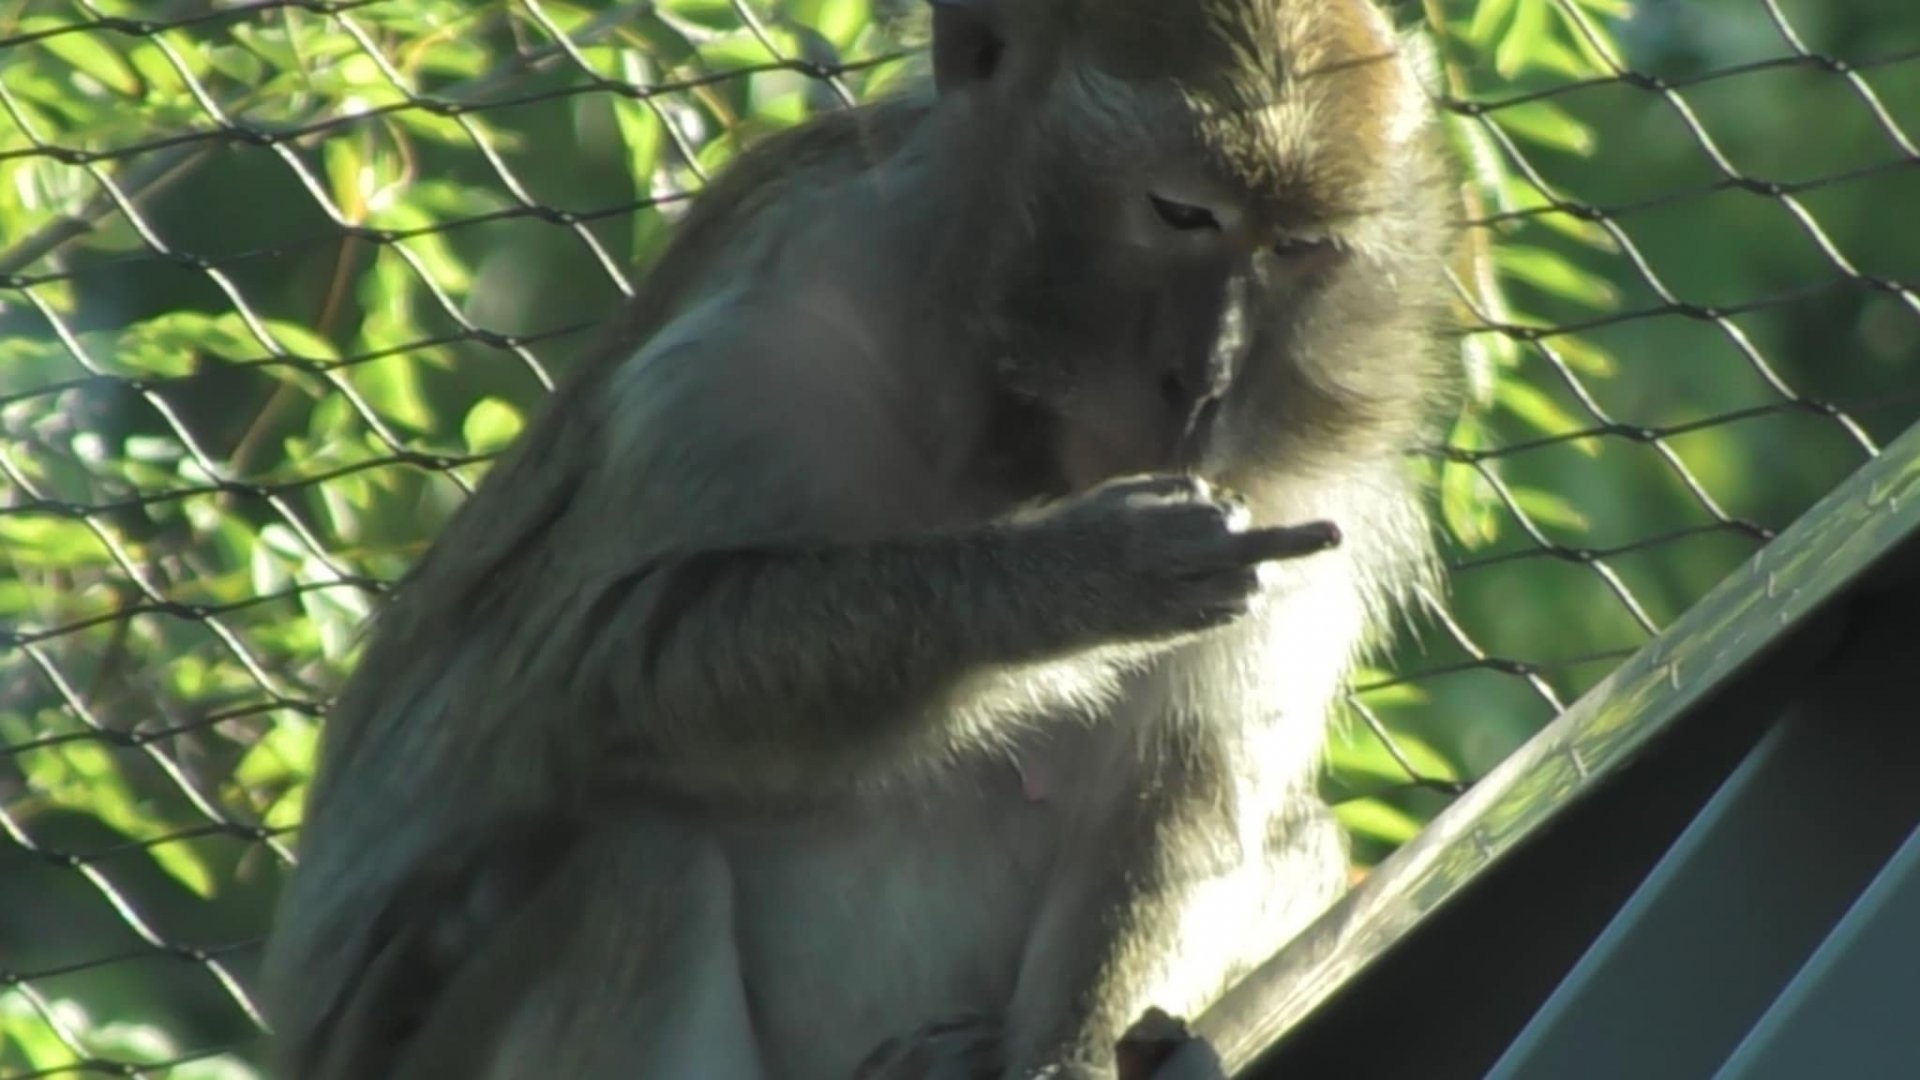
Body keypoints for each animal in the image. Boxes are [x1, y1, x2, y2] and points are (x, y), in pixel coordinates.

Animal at [258, 0, 1451, 1076]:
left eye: (1299, 249)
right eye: (1181, 213)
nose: (1203, 380)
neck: (996, 410)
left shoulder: (1302, 481)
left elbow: (1178, 791)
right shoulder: (772, 314)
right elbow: (602, 658)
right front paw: (1076, 580)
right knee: (634, 867)